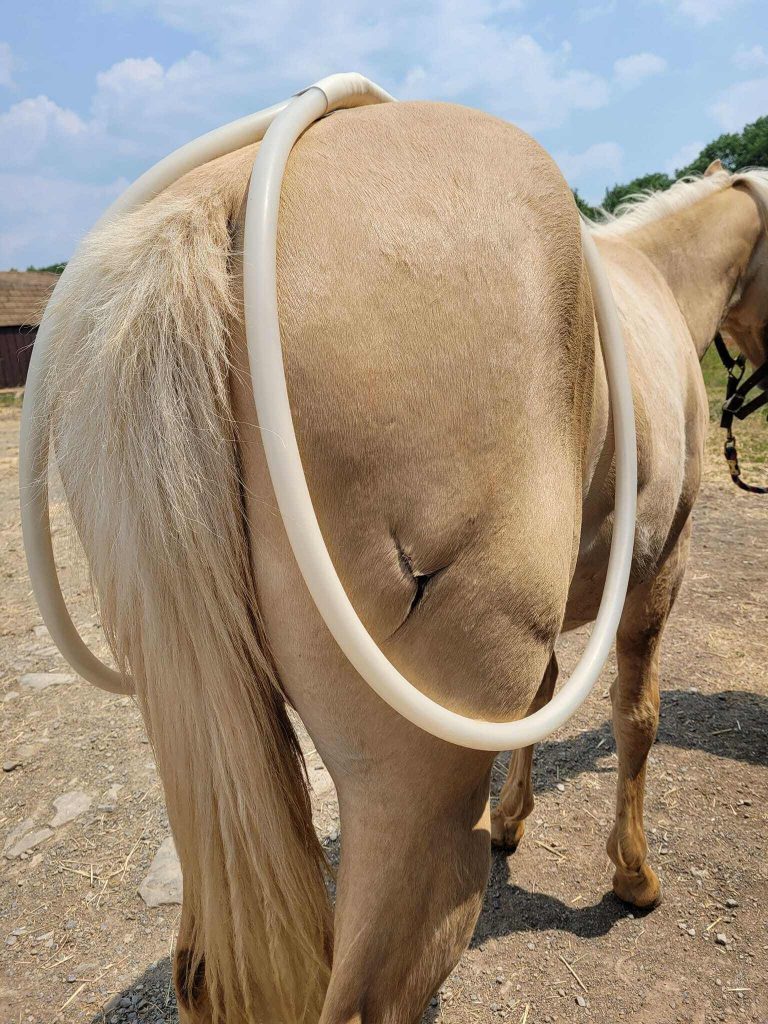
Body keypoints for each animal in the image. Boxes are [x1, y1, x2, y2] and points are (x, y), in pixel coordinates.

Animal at [38, 98, 768, 1023]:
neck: (657, 284)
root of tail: (223, 192)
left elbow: (545, 697)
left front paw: (514, 821)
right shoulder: (660, 568)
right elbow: (637, 719)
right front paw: (633, 876)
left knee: (201, 971)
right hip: (411, 800)